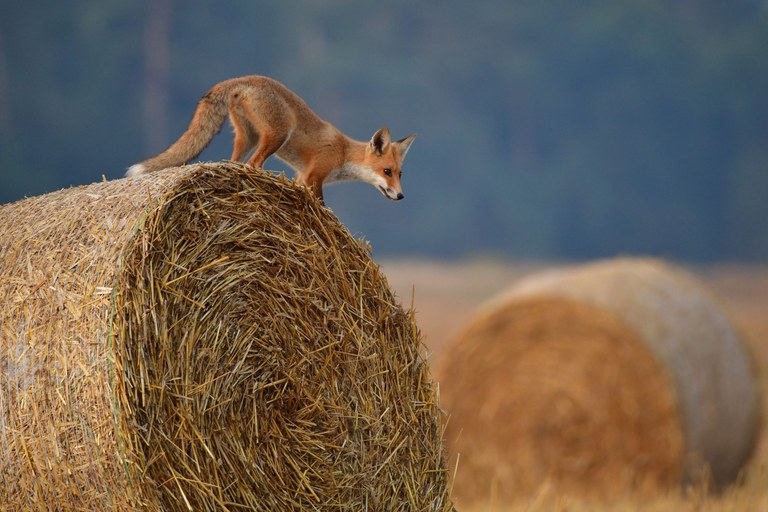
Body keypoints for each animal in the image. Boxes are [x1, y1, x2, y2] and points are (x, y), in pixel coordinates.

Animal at [127, 75, 414, 203]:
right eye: (387, 171)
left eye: (400, 174)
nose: (401, 196)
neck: (343, 154)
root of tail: (242, 79)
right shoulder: (314, 175)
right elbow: (324, 207)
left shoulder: (302, 176)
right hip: (277, 136)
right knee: (253, 165)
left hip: (247, 138)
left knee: (236, 163)